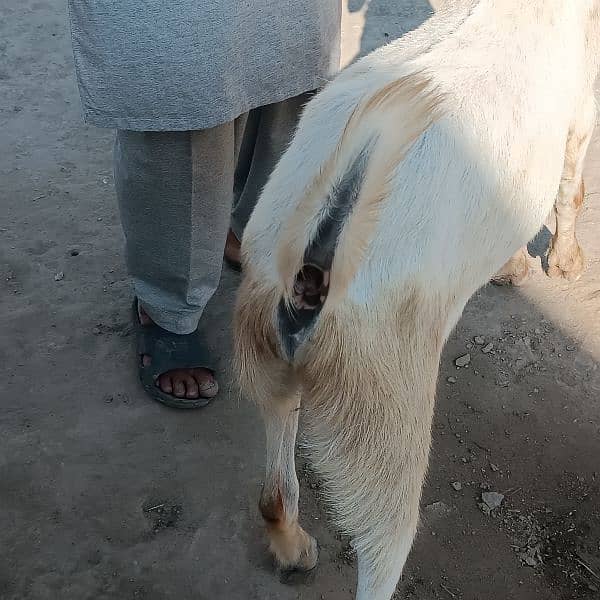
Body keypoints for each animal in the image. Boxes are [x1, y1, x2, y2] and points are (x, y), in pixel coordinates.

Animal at [233, 2, 600, 596]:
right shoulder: (583, 109)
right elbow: (571, 188)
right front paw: (562, 262)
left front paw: (514, 268)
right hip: (383, 397)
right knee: (384, 544)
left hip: (267, 334)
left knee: (275, 464)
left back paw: (291, 544)